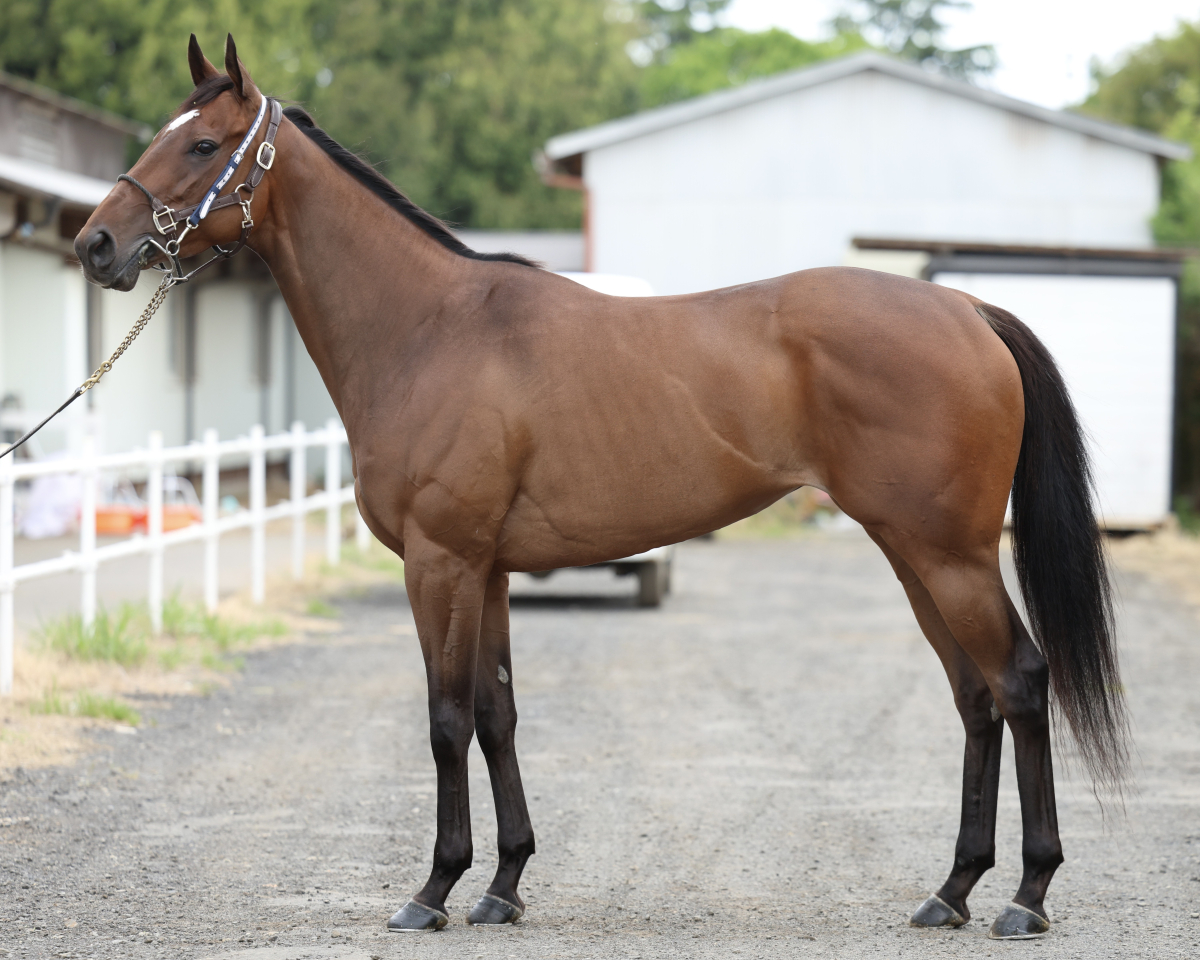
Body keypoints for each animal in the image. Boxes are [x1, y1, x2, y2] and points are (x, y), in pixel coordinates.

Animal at [75, 34, 1126, 941]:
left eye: (201, 143)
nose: (96, 245)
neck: (430, 329)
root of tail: (967, 308)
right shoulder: (490, 572)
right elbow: (495, 715)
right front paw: (502, 886)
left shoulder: (440, 563)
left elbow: (445, 720)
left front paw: (433, 890)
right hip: (914, 557)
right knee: (975, 697)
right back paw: (951, 890)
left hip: (948, 557)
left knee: (1020, 683)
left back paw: (1025, 896)